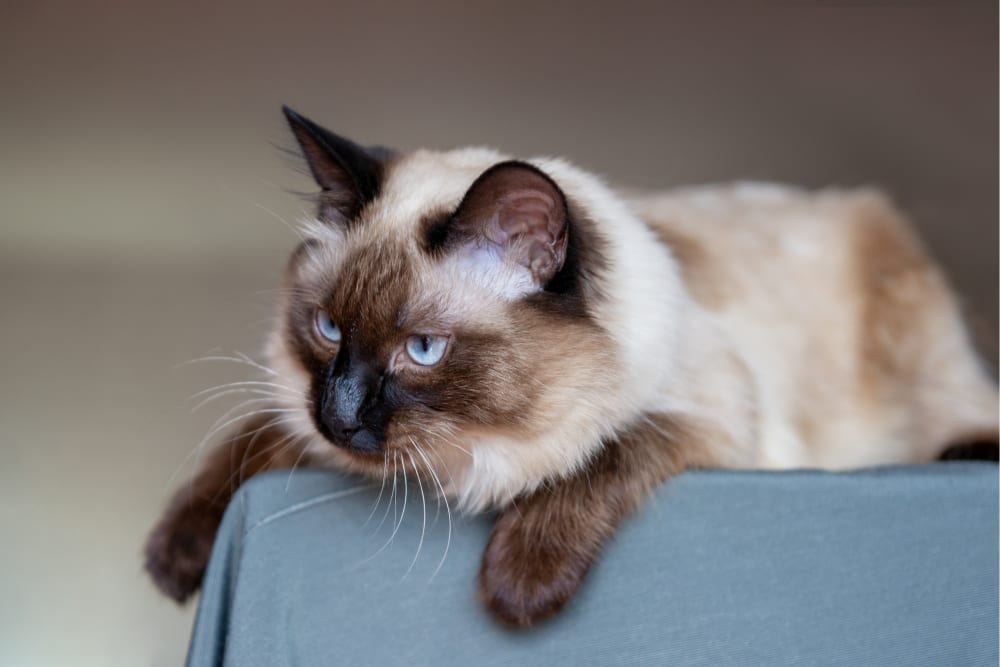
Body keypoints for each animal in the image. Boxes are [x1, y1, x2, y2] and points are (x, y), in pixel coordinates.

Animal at [143, 107, 1000, 628]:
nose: (341, 414)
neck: (468, 450)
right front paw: (173, 558)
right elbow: (248, 436)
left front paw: (519, 585)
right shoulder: (303, 427)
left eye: (421, 349)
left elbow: (602, 452)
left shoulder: (715, 422)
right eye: (326, 328)